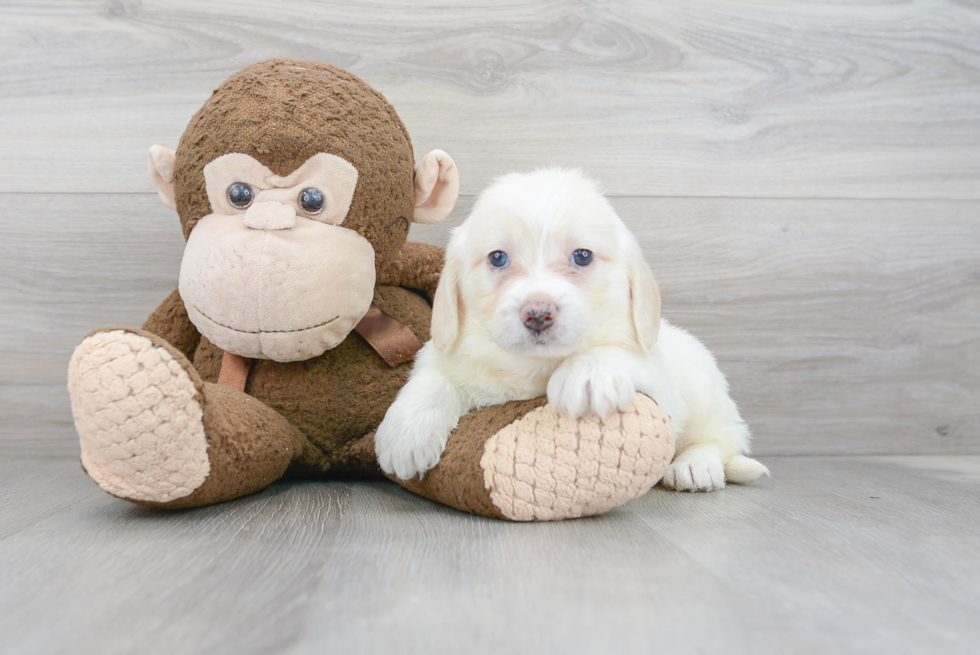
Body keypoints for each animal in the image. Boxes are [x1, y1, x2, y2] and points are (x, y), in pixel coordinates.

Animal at [376, 169, 764, 492]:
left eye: (582, 256)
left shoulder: (655, 377)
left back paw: (695, 467)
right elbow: (433, 378)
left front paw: (587, 375)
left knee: (720, 439)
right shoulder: (445, 351)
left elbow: (614, 351)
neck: (535, 366)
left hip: (707, 397)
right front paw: (406, 433)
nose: (538, 314)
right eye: (498, 258)